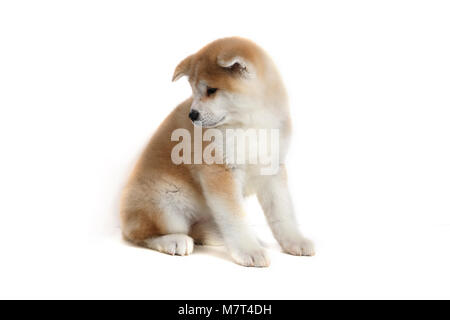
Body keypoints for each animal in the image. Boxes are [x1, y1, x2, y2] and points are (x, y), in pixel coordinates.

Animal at [121, 37, 314, 268]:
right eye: (194, 91)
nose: (192, 115)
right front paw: (248, 250)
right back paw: (174, 241)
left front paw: (294, 241)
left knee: (198, 229)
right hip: (166, 203)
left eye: (211, 90)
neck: (251, 124)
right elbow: (235, 218)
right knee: (139, 233)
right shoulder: (221, 174)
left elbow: (283, 213)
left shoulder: (273, 170)